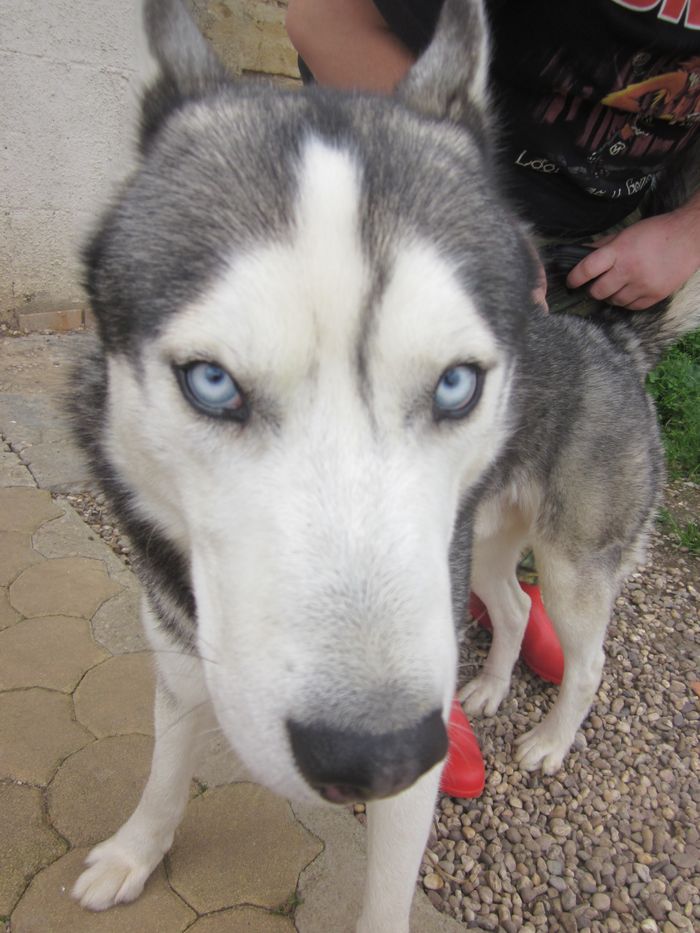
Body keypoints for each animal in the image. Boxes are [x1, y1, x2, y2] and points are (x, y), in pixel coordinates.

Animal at [72, 0, 700, 928]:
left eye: (456, 382)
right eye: (212, 382)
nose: (379, 753)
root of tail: (612, 338)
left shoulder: (411, 779)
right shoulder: (180, 661)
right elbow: (162, 773)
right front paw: (133, 852)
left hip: (575, 564)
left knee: (586, 657)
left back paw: (551, 739)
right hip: (477, 546)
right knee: (513, 607)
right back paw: (490, 689)